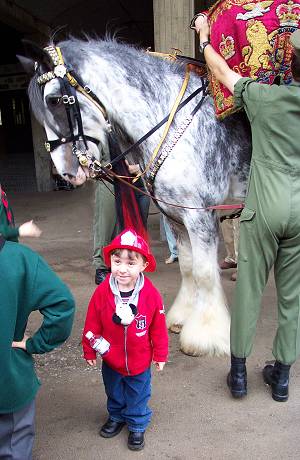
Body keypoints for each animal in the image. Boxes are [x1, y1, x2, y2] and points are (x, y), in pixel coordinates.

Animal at [20, 37, 251, 358]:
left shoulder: (199, 216)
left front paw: (205, 336)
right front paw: (181, 318)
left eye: (54, 100)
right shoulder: (177, 218)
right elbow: (188, 267)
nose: (66, 173)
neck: (174, 120)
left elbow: (204, 272)